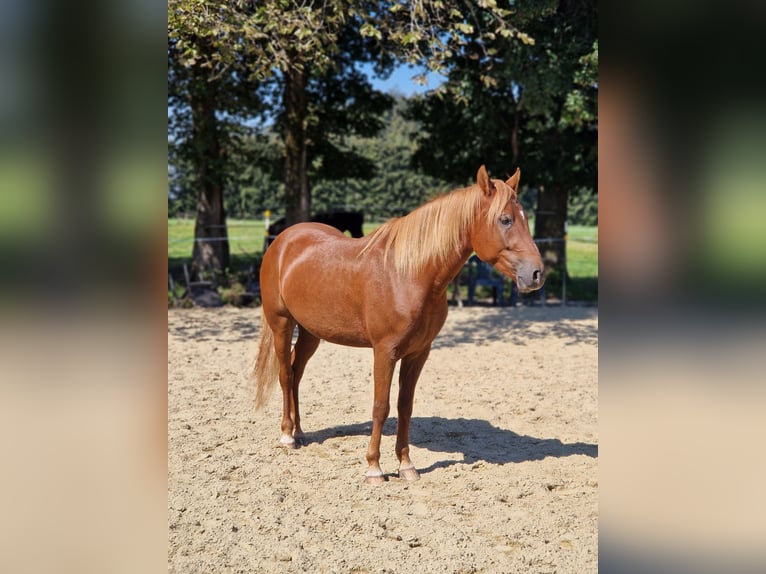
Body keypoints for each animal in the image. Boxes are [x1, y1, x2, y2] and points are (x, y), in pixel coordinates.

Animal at [252, 165, 544, 484]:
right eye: (505, 219)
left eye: (525, 217)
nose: (536, 274)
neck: (409, 274)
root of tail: (282, 240)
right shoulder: (385, 352)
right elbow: (381, 406)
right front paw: (374, 468)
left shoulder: (418, 353)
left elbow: (405, 406)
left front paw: (406, 465)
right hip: (281, 324)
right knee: (285, 374)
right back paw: (287, 436)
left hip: (311, 332)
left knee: (296, 372)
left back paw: (301, 432)